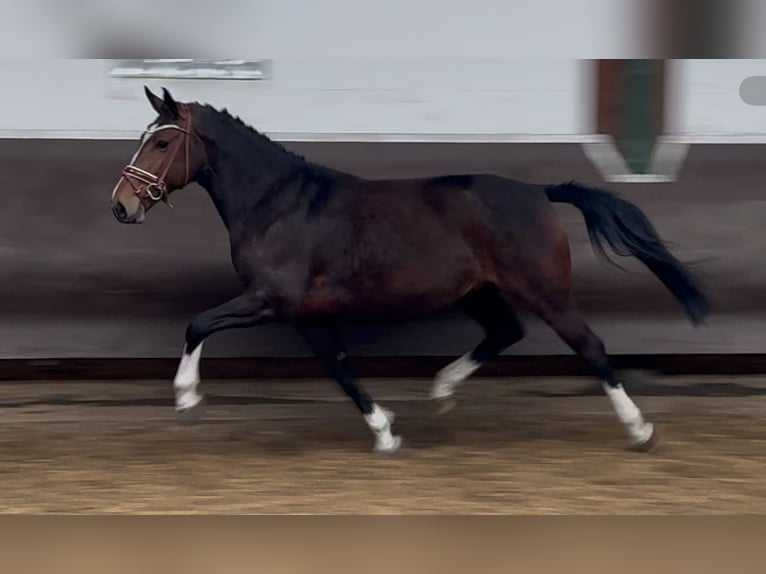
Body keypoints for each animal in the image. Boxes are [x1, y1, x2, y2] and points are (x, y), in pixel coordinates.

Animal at [110, 87, 710, 455]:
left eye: (161, 140)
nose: (122, 206)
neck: (279, 204)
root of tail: (539, 193)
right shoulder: (307, 314)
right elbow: (341, 369)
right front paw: (386, 433)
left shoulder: (270, 300)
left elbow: (198, 323)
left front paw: (186, 398)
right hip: (477, 291)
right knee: (505, 332)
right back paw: (441, 391)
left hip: (545, 290)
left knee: (591, 347)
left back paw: (640, 430)